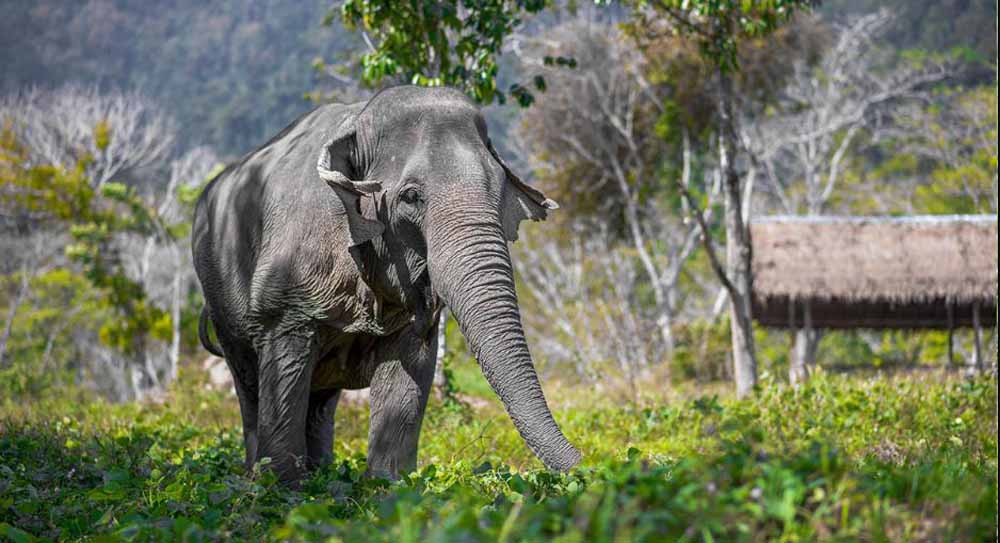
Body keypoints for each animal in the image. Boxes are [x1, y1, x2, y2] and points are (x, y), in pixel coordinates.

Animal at [191, 85, 584, 484]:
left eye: (499, 191)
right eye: (411, 196)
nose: (587, 465)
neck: (358, 119)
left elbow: (409, 368)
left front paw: (389, 485)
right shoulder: (285, 289)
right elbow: (285, 362)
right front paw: (283, 488)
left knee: (320, 399)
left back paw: (324, 475)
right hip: (220, 301)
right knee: (249, 381)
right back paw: (261, 476)